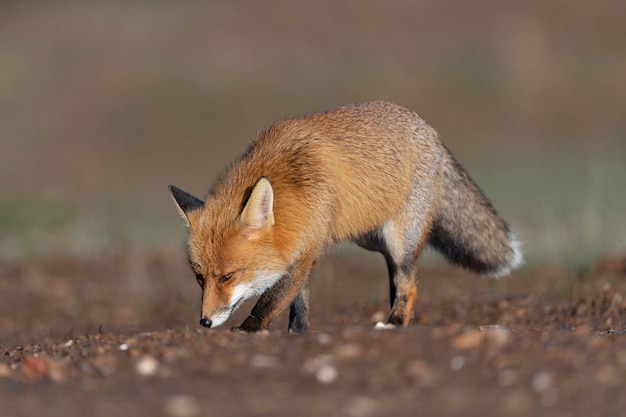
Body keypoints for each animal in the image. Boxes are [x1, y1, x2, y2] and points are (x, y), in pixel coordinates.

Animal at [168, 100, 520, 332]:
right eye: (199, 277)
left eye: (227, 276)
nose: (204, 321)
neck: (291, 185)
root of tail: (430, 131)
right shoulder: (304, 247)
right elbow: (299, 299)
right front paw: (298, 333)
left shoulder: (303, 250)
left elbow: (274, 298)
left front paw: (248, 331)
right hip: (373, 240)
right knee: (399, 280)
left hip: (399, 239)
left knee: (411, 282)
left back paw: (395, 322)